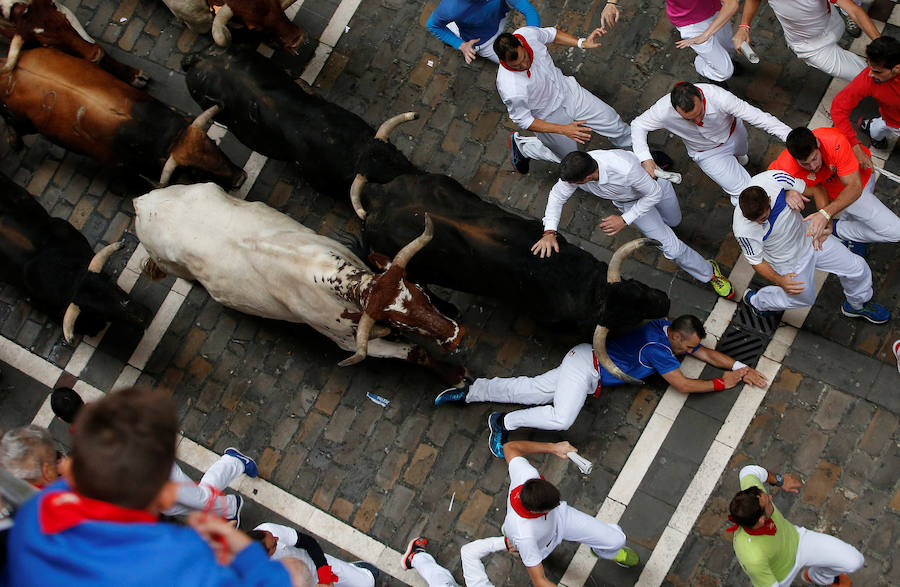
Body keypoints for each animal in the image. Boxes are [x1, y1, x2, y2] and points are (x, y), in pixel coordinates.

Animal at [0, 0, 148, 87]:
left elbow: (88, 39)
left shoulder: (62, 8)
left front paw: (134, 75)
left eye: (64, 20)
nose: (95, 54)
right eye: (47, 45)